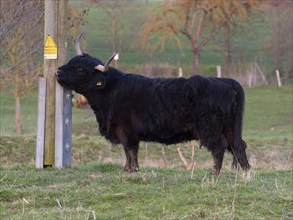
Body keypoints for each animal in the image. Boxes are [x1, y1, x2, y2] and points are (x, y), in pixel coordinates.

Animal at [56, 34, 249, 175]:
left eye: (80, 69)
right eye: (72, 62)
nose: (57, 71)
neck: (111, 91)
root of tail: (226, 81)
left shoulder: (127, 130)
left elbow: (130, 150)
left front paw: (132, 170)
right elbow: (128, 151)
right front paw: (127, 169)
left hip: (211, 129)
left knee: (219, 148)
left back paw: (215, 173)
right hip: (229, 128)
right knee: (238, 145)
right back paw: (245, 171)